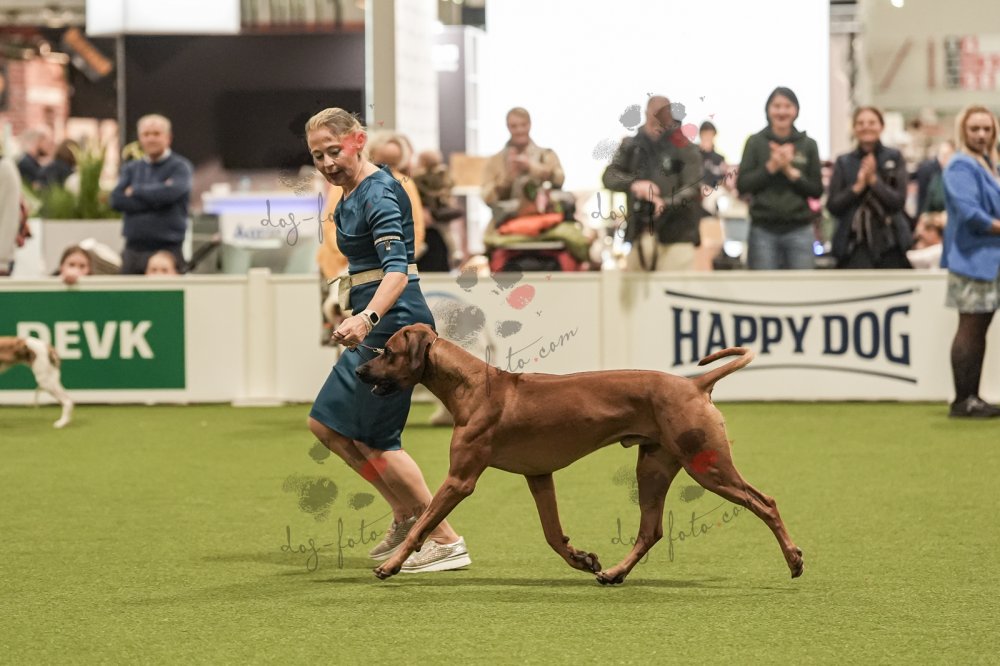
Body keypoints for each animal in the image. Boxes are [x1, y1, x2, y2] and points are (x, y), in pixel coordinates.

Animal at [356, 323, 803, 585]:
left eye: (386, 352)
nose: (358, 372)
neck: (473, 386)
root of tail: (694, 385)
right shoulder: (539, 476)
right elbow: (553, 535)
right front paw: (581, 559)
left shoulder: (460, 480)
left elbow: (422, 523)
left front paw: (392, 565)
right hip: (653, 466)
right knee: (651, 530)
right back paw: (615, 573)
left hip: (707, 465)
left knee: (765, 502)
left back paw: (794, 559)